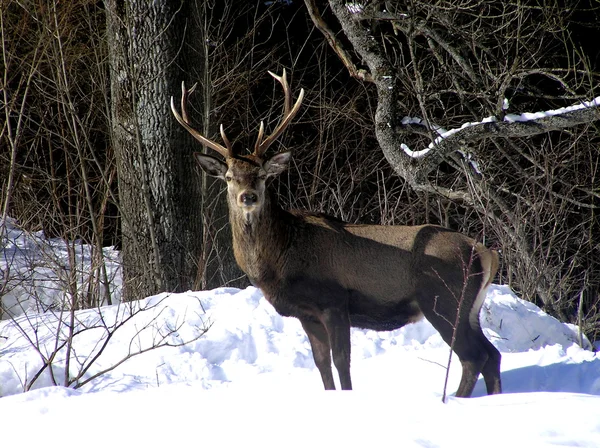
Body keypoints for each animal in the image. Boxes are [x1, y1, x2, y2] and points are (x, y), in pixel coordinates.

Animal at [170, 69, 502, 396]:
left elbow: (342, 362)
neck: (279, 262)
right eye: (229, 177)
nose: (248, 197)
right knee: (492, 354)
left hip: (444, 299)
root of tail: (487, 253)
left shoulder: (335, 301)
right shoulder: (307, 314)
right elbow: (321, 364)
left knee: (474, 356)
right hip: (468, 307)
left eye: (262, 175)